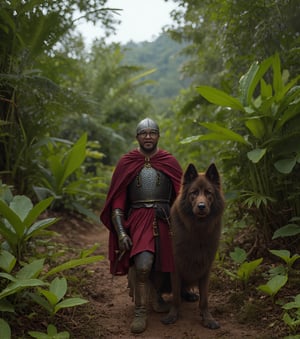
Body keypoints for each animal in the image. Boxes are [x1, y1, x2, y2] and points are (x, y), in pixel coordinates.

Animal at [162, 163, 225, 330]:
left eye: (208, 193)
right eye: (194, 193)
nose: (201, 206)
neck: (198, 229)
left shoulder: (206, 267)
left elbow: (204, 300)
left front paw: (208, 318)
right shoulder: (176, 265)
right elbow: (176, 297)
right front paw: (172, 315)